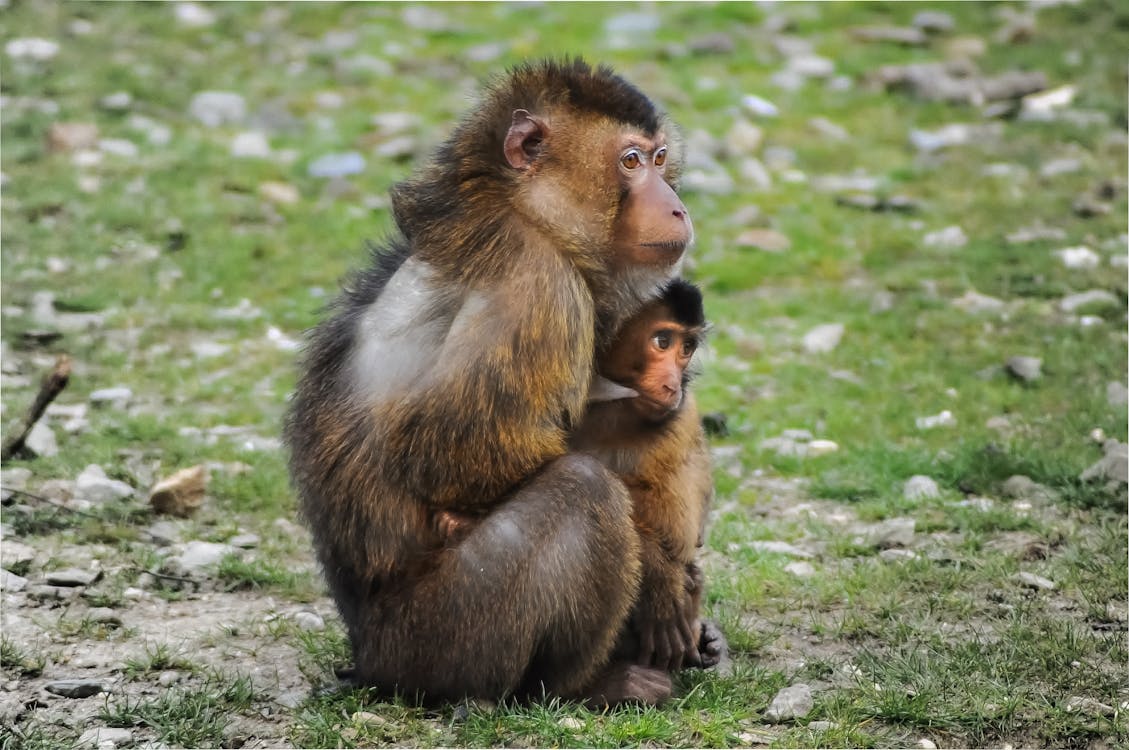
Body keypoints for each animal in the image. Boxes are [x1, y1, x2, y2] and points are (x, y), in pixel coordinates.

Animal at [286, 60, 690, 709]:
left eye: (658, 158)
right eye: (630, 161)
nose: (676, 207)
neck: (522, 211)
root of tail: (367, 656)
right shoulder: (538, 286)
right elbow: (452, 456)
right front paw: (659, 571)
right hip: (443, 634)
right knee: (584, 489)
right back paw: (585, 683)